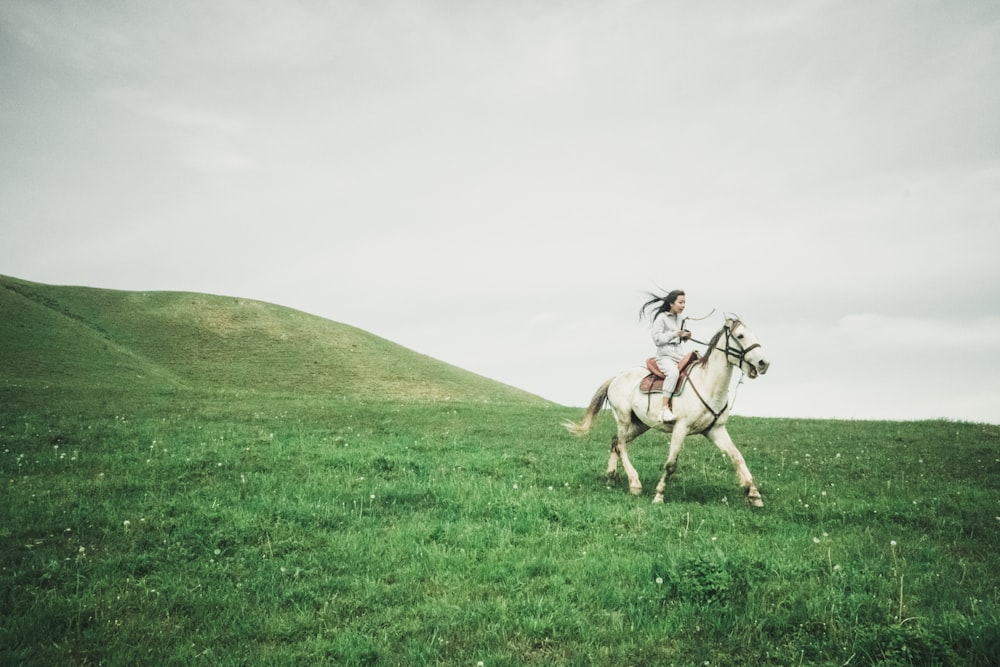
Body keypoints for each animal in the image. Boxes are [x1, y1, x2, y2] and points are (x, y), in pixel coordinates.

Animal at [568, 318, 768, 506]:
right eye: (740, 336)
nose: (763, 363)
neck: (707, 384)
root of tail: (616, 377)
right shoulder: (681, 428)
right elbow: (671, 464)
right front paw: (659, 496)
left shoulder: (715, 430)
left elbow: (737, 457)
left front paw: (754, 495)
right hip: (623, 419)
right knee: (622, 445)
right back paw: (634, 483)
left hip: (641, 425)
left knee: (615, 442)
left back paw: (611, 478)